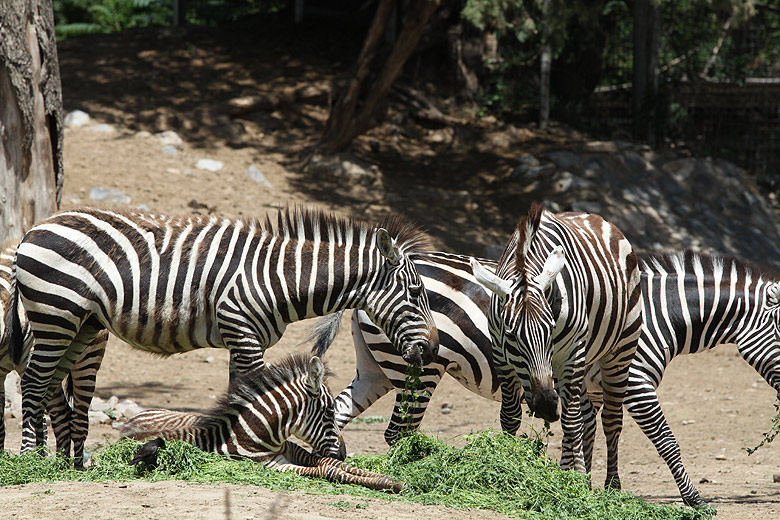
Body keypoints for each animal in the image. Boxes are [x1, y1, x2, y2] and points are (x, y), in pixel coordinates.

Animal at [11, 206, 439, 454]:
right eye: (417, 293)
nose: (434, 349)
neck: (281, 278)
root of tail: (35, 227)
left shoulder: (244, 339)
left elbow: (241, 392)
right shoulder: (244, 334)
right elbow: (252, 392)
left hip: (81, 324)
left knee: (48, 386)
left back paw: (60, 464)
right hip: (55, 313)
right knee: (33, 381)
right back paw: (30, 459)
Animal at [121, 353, 404, 492]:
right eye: (328, 412)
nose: (344, 452)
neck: (263, 434)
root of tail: (131, 421)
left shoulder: (292, 449)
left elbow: (329, 463)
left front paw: (389, 478)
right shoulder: (273, 464)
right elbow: (327, 469)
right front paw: (390, 482)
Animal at [316, 248, 780, 506]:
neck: (654, 314)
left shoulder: (593, 388)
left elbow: (593, 435)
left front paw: (584, 486)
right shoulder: (635, 381)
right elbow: (665, 439)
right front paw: (693, 498)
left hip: (376, 368)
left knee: (338, 413)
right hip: (419, 369)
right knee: (398, 433)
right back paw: (415, 479)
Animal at [463, 203, 643, 488]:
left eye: (549, 330)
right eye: (511, 335)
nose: (547, 406)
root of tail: (593, 216)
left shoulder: (571, 353)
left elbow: (570, 421)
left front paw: (576, 479)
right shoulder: (501, 357)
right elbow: (510, 417)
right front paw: (506, 462)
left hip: (619, 348)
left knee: (610, 419)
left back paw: (611, 486)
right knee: (588, 416)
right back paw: (577, 475)